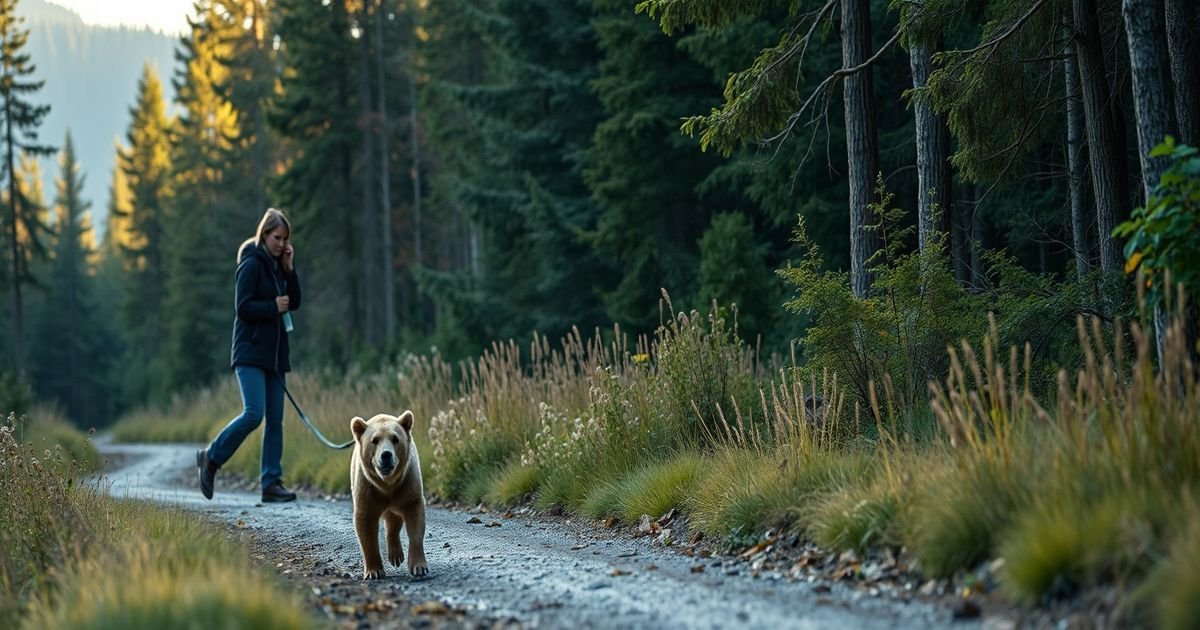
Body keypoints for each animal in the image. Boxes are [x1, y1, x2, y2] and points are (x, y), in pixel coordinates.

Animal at [350, 411, 428, 580]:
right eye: (374, 440)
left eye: (395, 438)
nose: (386, 455)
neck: (387, 484)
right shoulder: (368, 488)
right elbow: (365, 525)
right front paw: (374, 571)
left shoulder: (408, 483)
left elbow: (415, 522)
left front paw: (419, 566)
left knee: (394, 519)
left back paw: (395, 554)